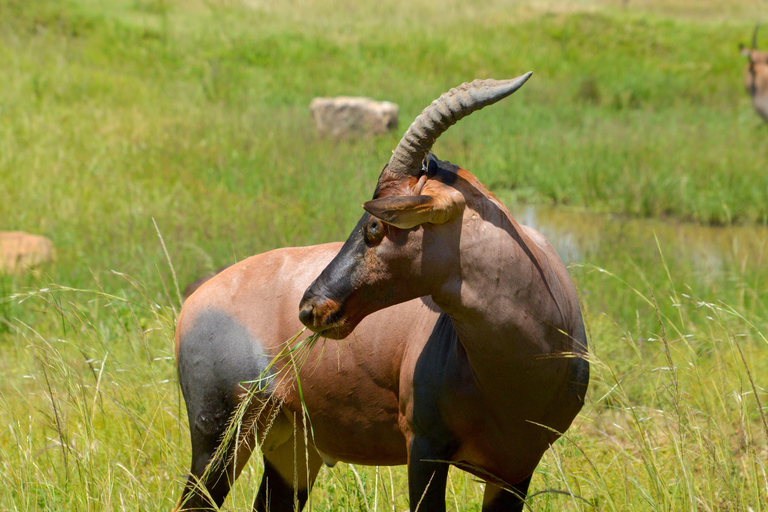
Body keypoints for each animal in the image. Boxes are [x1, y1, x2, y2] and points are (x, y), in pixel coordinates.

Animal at [172, 73, 588, 512]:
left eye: (374, 226)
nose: (311, 308)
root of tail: (193, 303)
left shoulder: (516, 469)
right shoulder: (424, 449)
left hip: (292, 448)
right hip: (218, 439)